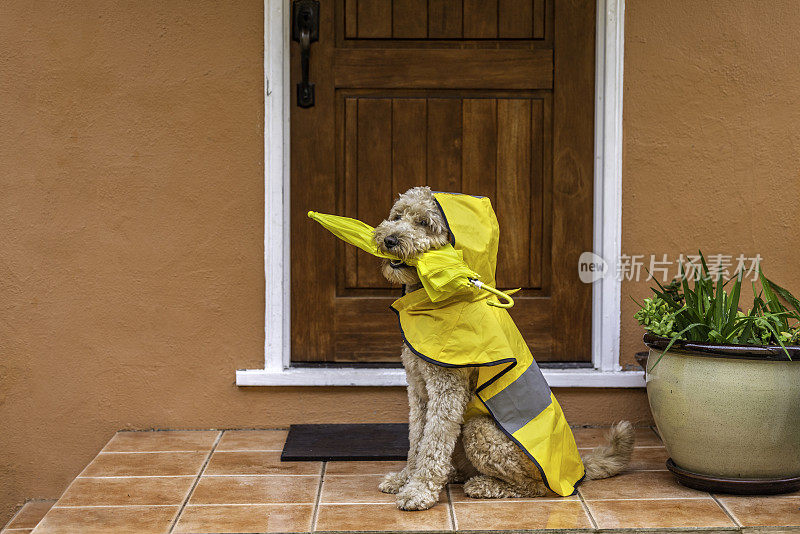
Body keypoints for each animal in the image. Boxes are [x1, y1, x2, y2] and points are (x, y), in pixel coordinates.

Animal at [372, 186, 636, 512]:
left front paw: (419, 490)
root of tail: (577, 469)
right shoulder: (419, 388)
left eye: (424, 223)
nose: (390, 239)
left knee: (534, 487)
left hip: (481, 431)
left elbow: (432, 443)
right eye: (397, 216)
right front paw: (404, 479)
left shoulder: (447, 390)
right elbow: (416, 438)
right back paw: (456, 474)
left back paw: (484, 485)